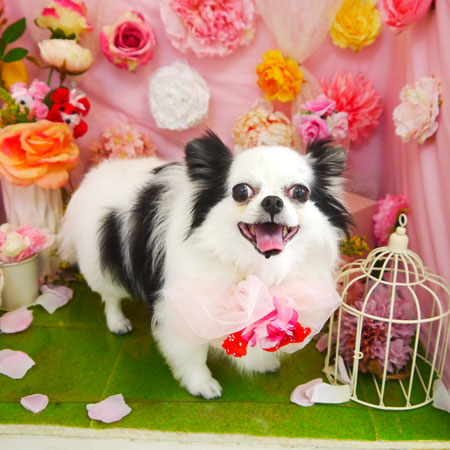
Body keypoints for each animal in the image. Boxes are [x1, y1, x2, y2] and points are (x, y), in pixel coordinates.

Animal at [59, 132, 351, 399]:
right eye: (241, 191)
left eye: (300, 192)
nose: (272, 201)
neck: (255, 267)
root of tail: (94, 174)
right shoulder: (183, 309)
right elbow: (193, 354)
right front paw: (201, 384)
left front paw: (264, 363)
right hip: (101, 263)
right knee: (110, 297)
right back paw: (117, 322)